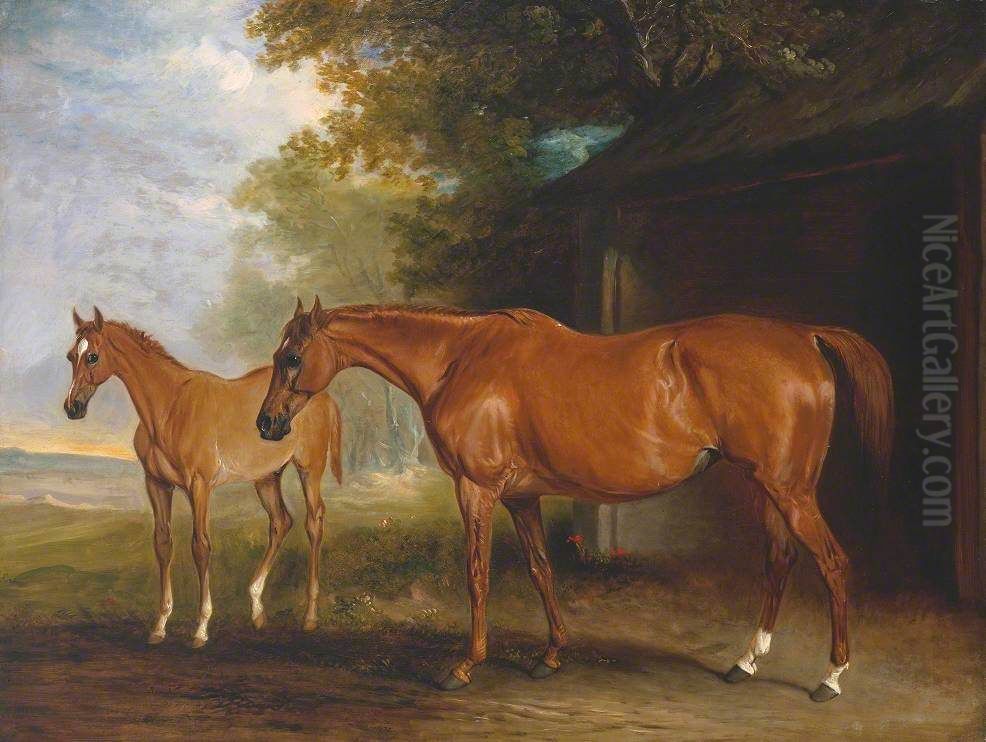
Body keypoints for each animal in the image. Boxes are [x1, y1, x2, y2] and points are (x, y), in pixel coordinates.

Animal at [64, 307, 342, 647]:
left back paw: (310, 616)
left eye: (92, 356)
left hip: (309, 469)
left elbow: (201, 546)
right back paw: (257, 608)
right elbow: (163, 543)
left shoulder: (199, 486)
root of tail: (322, 395)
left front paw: (201, 627)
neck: (170, 407)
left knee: (314, 522)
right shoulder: (157, 484)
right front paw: (160, 624)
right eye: (70, 356)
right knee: (280, 522)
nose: (72, 407)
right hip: (266, 477)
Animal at [257, 299, 892, 703]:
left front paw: (463, 666)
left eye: (292, 357)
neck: (459, 359)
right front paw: (551, 656)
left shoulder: (477, 489)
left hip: (791, 491)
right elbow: (541, 570)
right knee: (780, 561)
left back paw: (831, 678)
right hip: (767, 487)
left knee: (833, 564)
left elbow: (477, 575)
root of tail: (803, 335)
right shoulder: (522, 499)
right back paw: (745, 663)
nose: (266, 424)